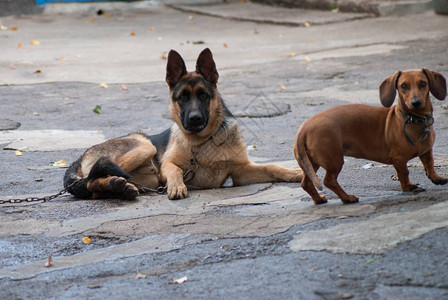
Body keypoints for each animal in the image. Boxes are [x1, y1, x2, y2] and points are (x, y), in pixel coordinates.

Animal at [63, 48, 302, 199]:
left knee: (92, 186)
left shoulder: (240, 172)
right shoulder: (167, 166)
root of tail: (81, 156)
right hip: (144, 146)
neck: (203, 142)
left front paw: (296, 173)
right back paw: (116, 185)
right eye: (182, 97)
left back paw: (117, 187)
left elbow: (272, 167)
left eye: (204, 95)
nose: (195, 119)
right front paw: (177, 187)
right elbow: (175, 169)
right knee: (93, 176)